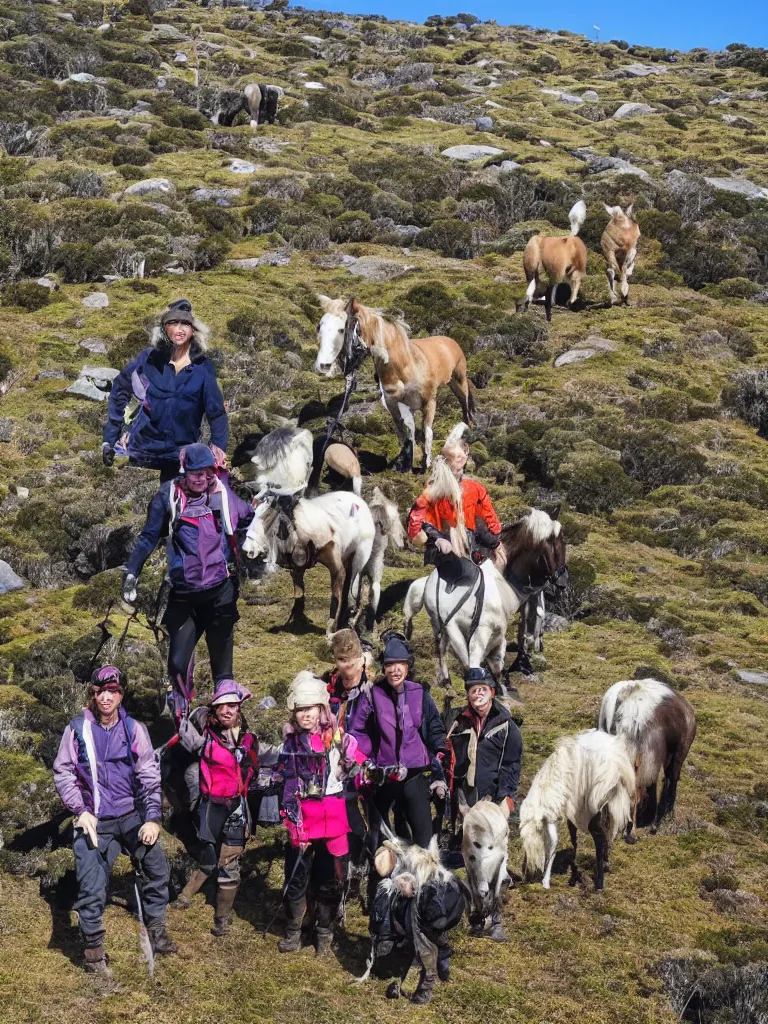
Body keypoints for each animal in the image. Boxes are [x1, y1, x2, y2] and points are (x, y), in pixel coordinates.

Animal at [313, 296, 473, 471]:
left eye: (341, 329)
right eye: (319, 326)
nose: (322, 366)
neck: (405, 366)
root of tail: (450, 341)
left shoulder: (429, 403)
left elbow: (427, 432)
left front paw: (426, 464)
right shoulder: (394, 405)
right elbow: (405, 433)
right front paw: (406, 463)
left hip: (458, 383)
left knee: (464, 406)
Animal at [456, 790, 512, 942]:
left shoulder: (471, 865)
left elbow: (476, 890)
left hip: (478, 863)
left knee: (483, 890)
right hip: (499, 860)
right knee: (495, 891)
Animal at [518, 733, 638, 892]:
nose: (525, 874)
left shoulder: (575, 809)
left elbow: (567, 837)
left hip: (597, 804)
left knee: (600, 837)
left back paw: (599, 884)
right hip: (613, 803)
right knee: (610, 830)